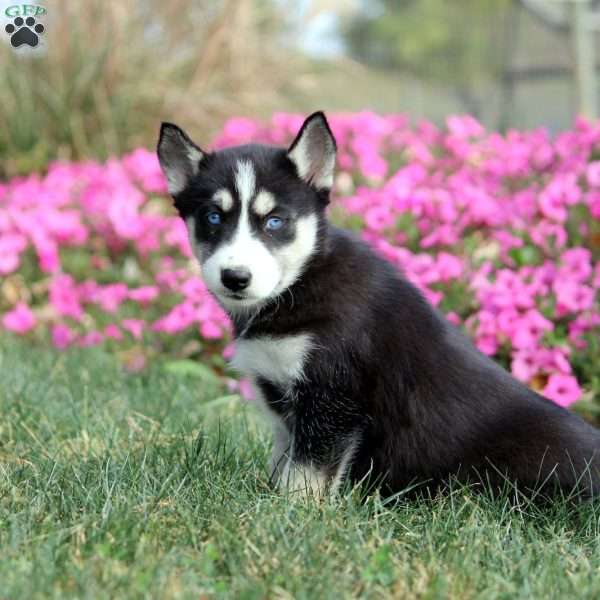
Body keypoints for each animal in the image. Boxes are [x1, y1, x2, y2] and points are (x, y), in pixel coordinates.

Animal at [156, 111, 600, 496]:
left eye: (275, 221)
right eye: (213, 217)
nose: (235, 277)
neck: (300, 283)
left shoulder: (333, 401)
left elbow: (305, 477)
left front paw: (291, 517)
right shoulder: (287, 404)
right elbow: (283, 463)